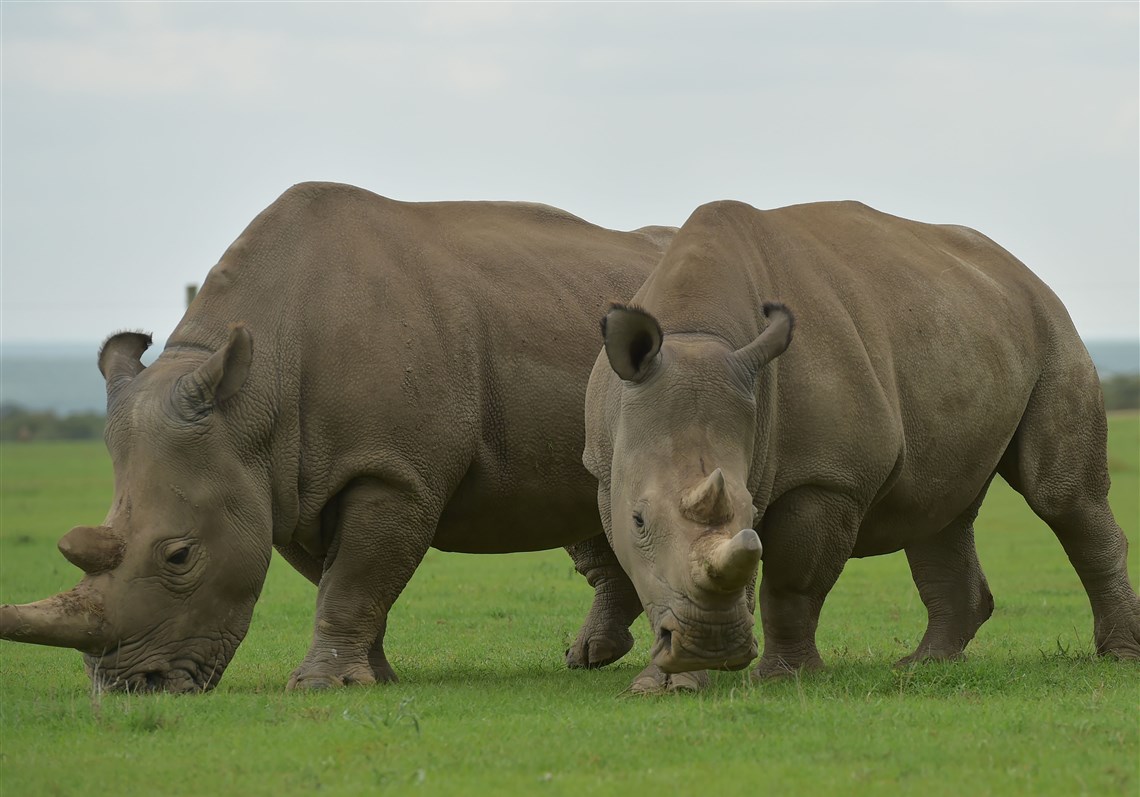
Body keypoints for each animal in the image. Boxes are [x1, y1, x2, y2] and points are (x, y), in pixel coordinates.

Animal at [0, 182, 672, 692]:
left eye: (180, 556)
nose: (130, 688)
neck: (250, 402)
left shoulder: (391, 472)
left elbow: (353, 579)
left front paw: (323, 685)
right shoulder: (287, 485)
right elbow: (344, 578)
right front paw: (373, 678)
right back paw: (590, 658)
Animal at [584, 199, 1140, 692]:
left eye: (751, 511)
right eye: (639, 520)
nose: (713, 646)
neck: (697, 332)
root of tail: (1020, 270)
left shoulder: (829, 477)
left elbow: (792, 582)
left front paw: (784, 678)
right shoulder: (606, 473)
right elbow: (649, 573)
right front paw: (662, 685)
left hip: (1053, 328)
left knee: (1061, 496)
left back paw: (1119, 657)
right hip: (964, 325)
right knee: (936, 510)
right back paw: (924, 666)